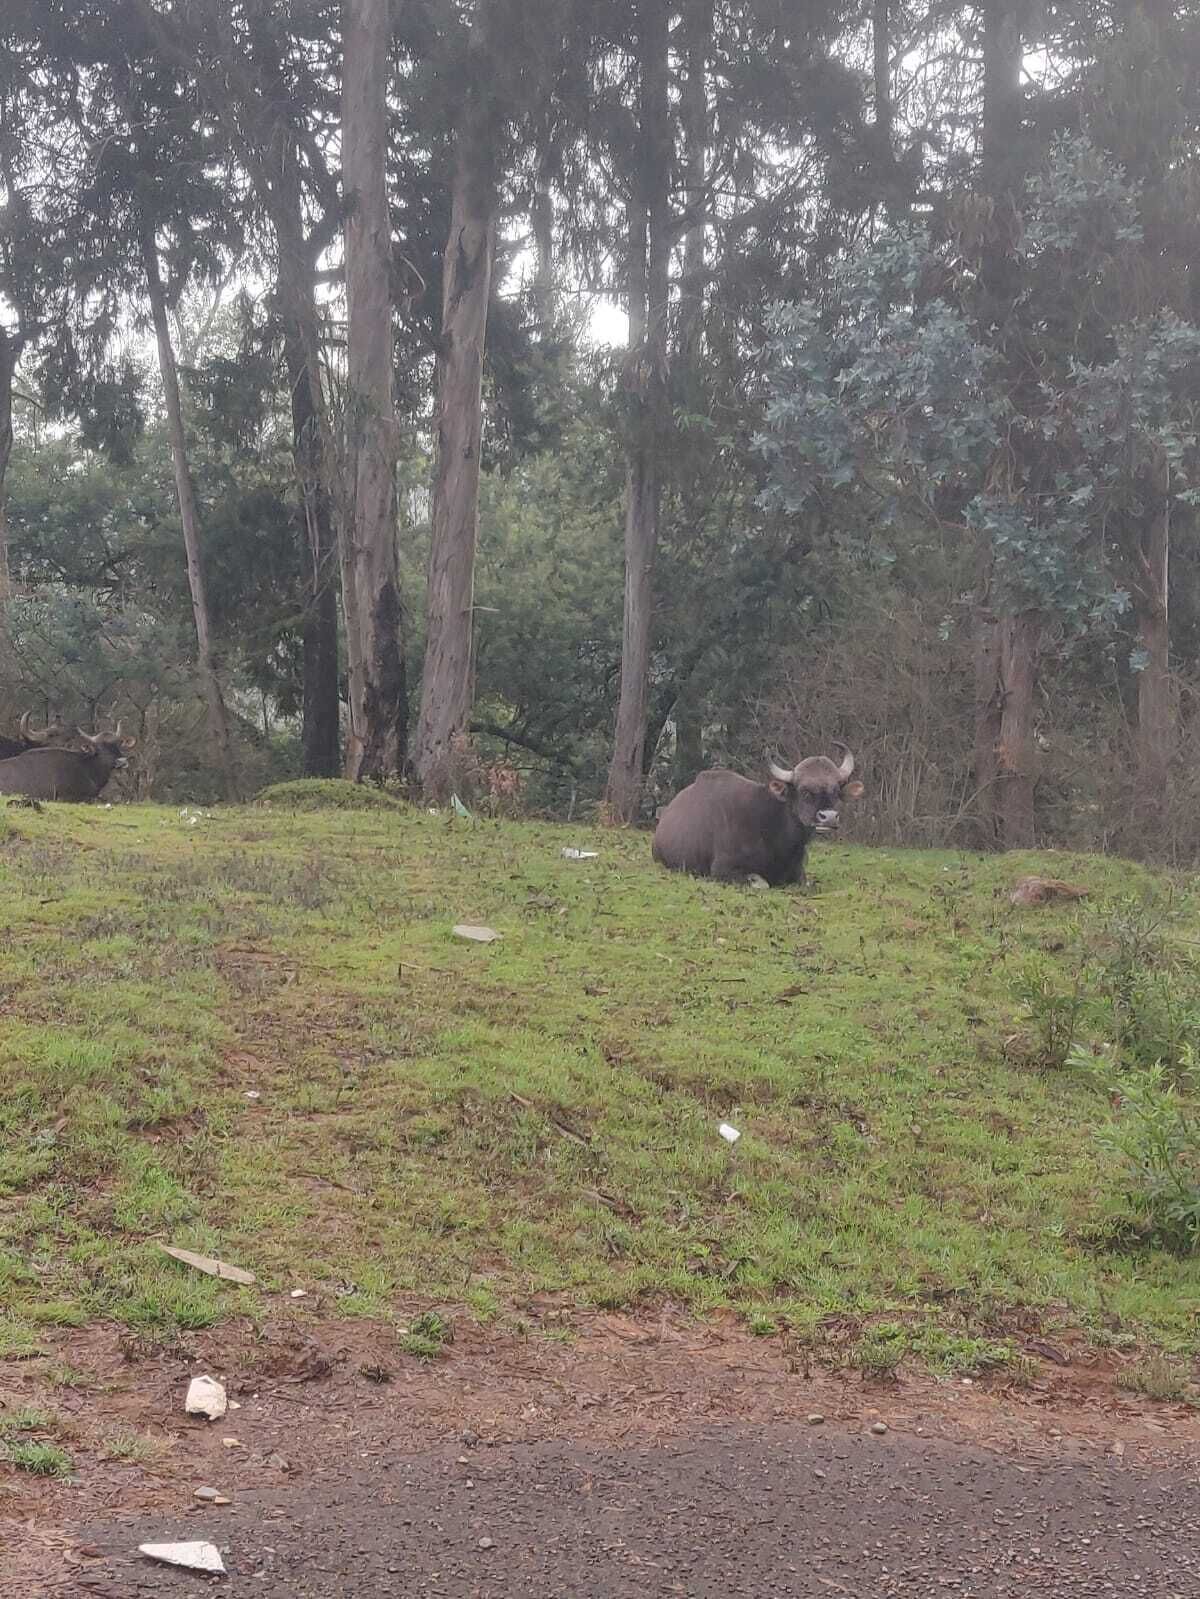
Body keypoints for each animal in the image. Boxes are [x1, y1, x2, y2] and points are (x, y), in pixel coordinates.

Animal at [652, 746, 863, 887]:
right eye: (804, 791)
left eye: (836, 791)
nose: (829, 817)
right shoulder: (722, 869)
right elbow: (762, 883)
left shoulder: (799, 873)